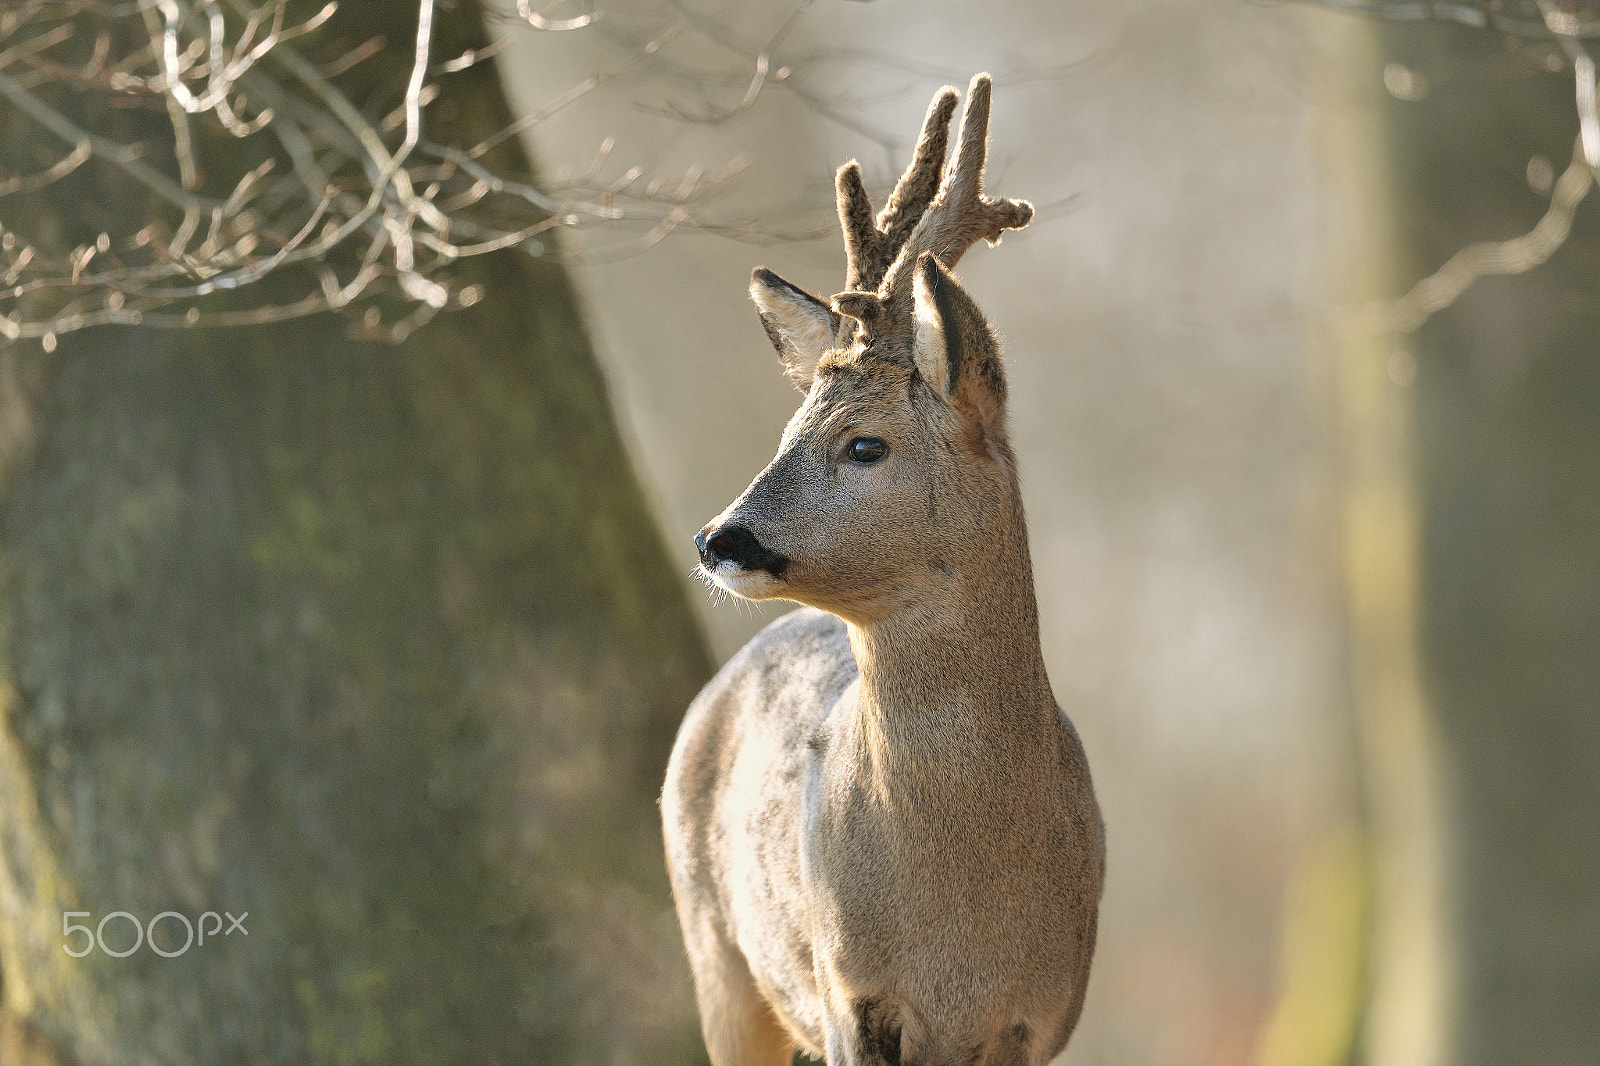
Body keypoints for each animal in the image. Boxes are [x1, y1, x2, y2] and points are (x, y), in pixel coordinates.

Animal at [659, 76, 1100, 1062]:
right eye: (787, 432)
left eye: (864, 444)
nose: (716, 539)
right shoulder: (850, 993)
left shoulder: (1044, 1013)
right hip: (718, 958)